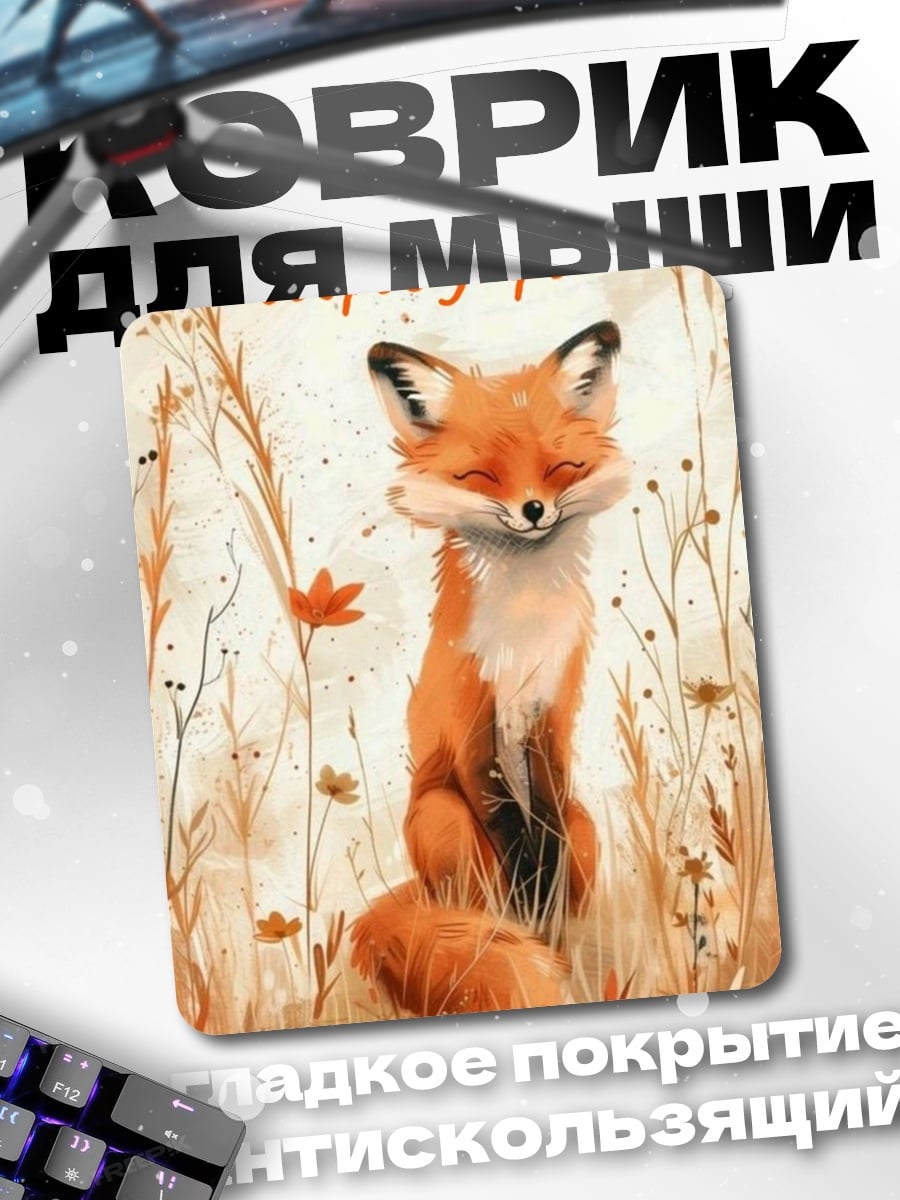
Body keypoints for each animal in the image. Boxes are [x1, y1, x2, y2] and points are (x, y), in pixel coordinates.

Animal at [349, 320, 631, 1017]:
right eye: (481, 475)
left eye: (560, 466)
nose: (533, 510)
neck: (523, 628)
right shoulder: (474, 725)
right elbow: (509, 841)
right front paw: (532, 938)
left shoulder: (552, 714)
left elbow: (546, 840)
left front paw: (552, 930)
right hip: (443, 816)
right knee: (476, 896)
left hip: (586, 823)